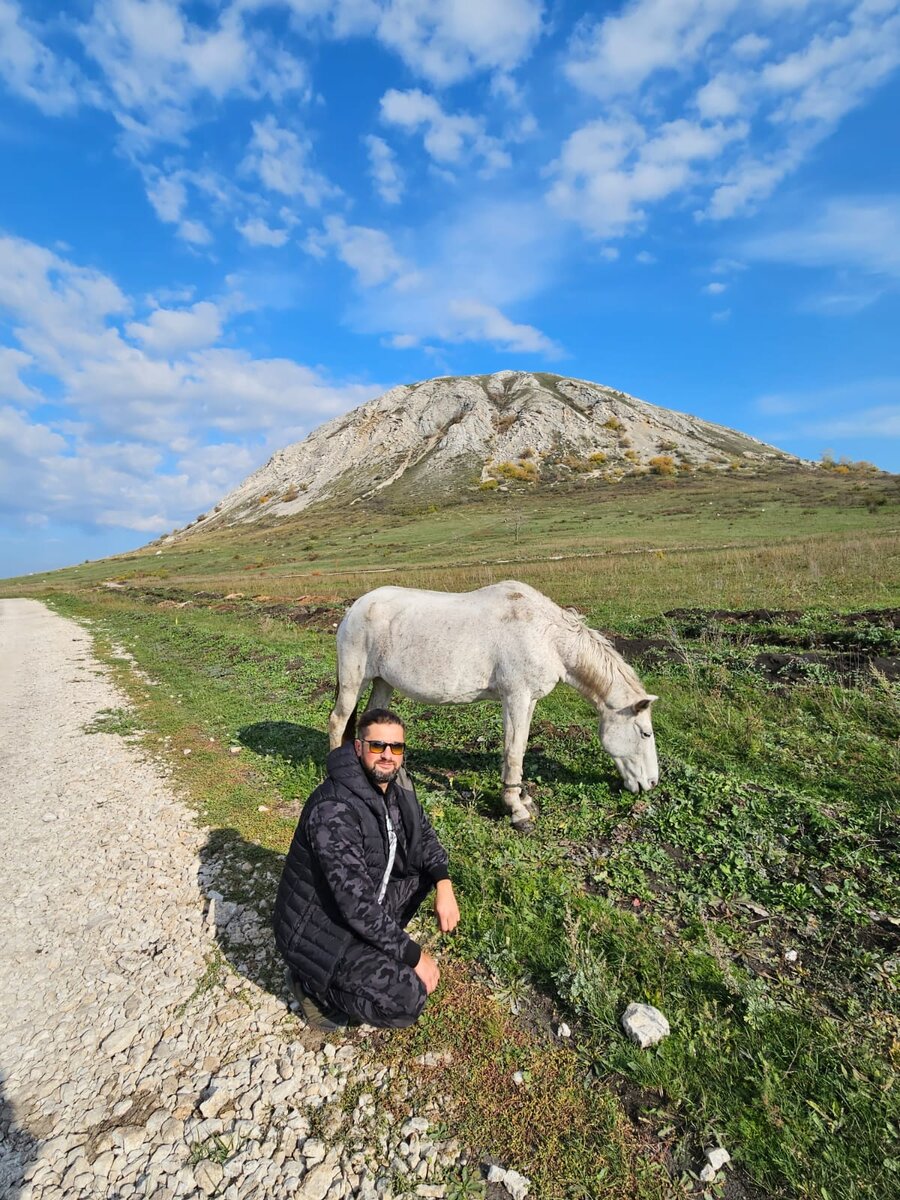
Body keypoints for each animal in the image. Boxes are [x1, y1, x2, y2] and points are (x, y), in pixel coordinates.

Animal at [328, 578, 657, 825]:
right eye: (645, 733)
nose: (651, 784)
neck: (547, 637)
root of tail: (355, 607)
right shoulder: (516, 697)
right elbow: (512, 752)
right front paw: (516, 810)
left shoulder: (529, 700)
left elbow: (520, 748)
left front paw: (522, 797)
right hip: (355, 678)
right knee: (339, 720)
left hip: (383, 682)